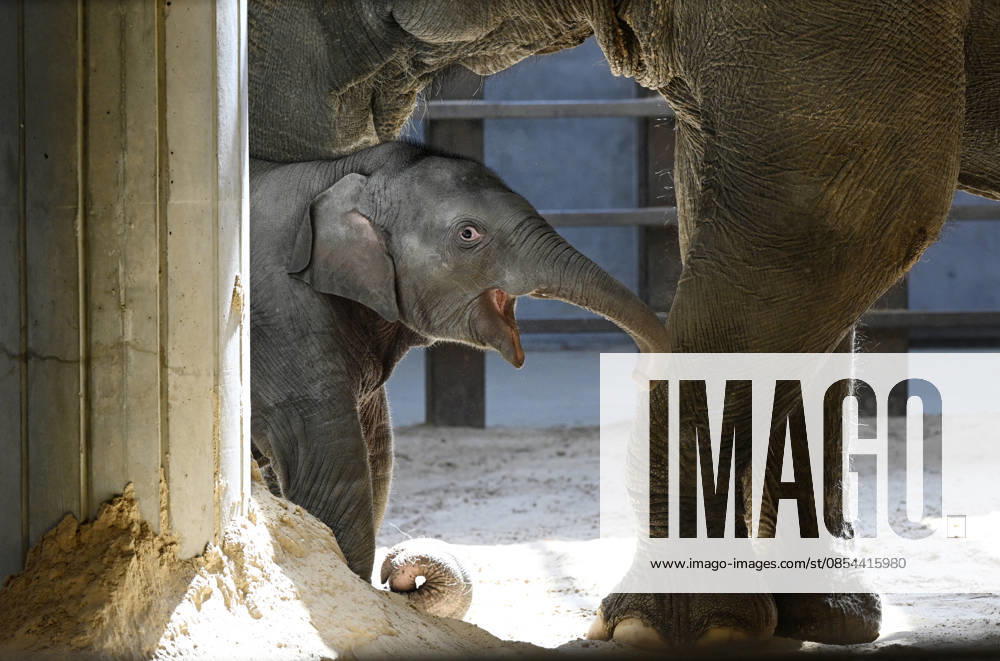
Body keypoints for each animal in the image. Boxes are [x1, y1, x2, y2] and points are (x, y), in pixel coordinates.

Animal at [249, 141, 670, 613]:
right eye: (469, 234)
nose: (642, 370)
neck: (337, 172)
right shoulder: (285, 322)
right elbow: (329, 471)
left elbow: (376, 452)